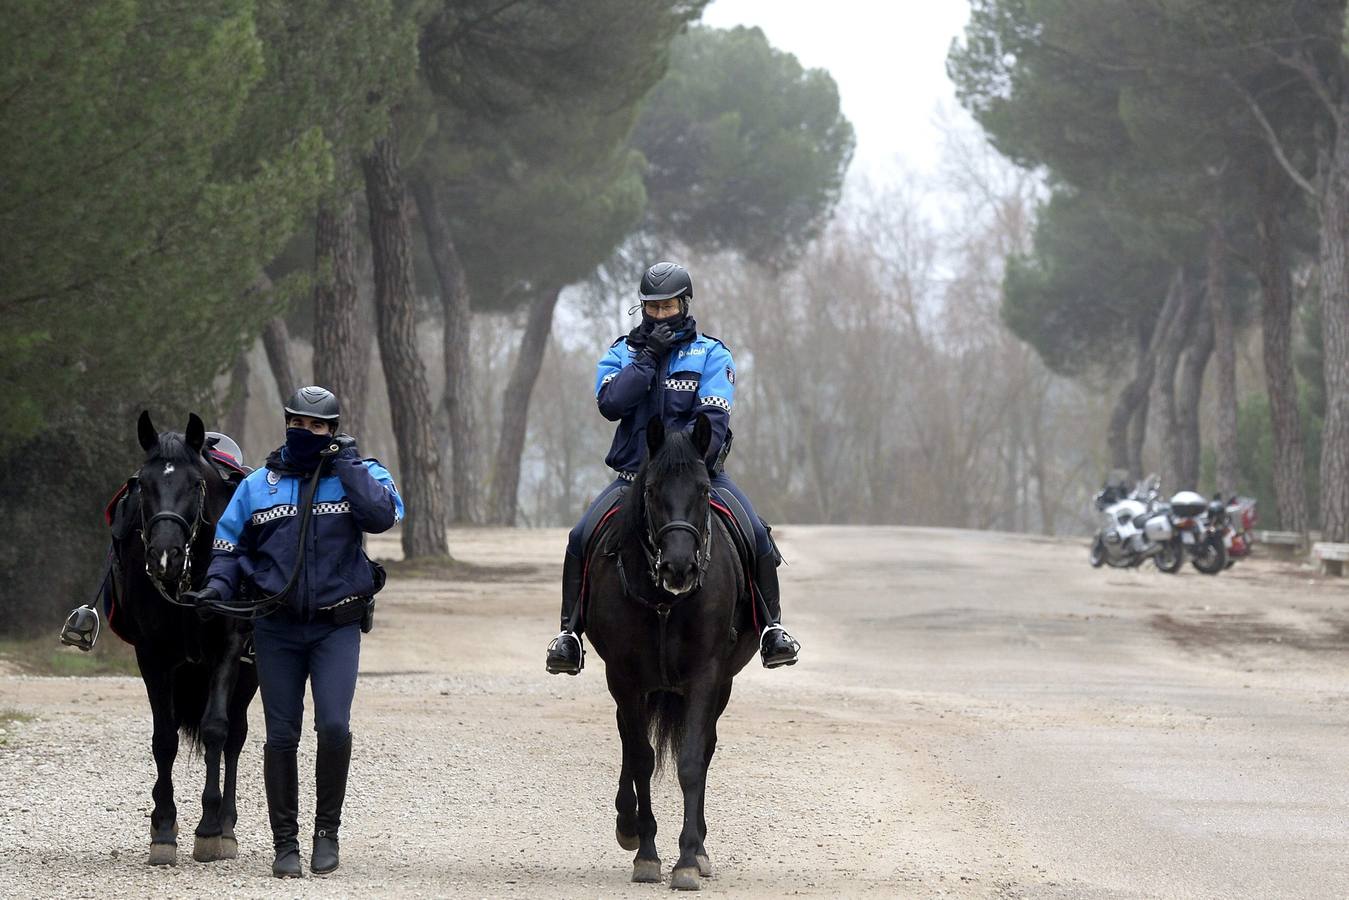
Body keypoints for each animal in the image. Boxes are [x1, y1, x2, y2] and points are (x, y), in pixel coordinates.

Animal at [117, 412, 259, 863]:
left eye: (195, 483)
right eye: (142, 483)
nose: (165, 555)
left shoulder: (228, 649)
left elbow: (216, 729)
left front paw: (210, 827)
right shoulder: (153, 656)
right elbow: (164, 738)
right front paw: (163, 827)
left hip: (250, 675)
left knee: (235, 737)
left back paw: (227, 825)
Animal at [588, 418, 766, 895]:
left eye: (704, 489)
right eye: (650, 489)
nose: (679, 567)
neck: (664, 600)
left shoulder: (706, 676)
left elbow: (690, 762)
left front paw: (687, 860)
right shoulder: (625, 678)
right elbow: (642, 759)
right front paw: (647, 854)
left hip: (720, 685)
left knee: (704, 749)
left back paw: (699, 850)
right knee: (630, 743)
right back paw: (627, 824)